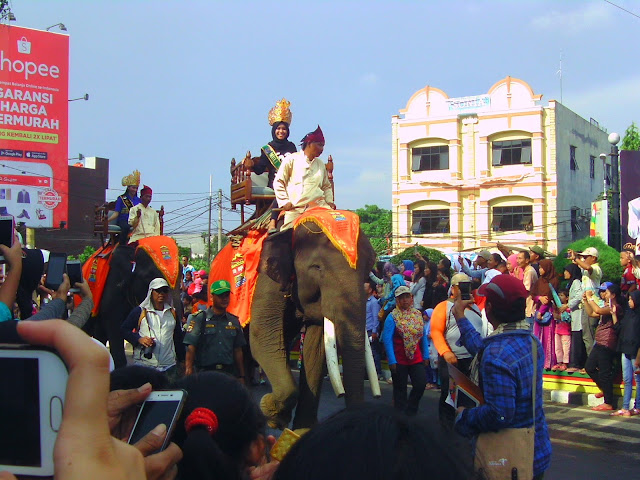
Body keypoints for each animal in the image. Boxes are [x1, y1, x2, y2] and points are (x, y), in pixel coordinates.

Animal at [249, 221, 380, 432]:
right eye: (316, 267)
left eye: (368, 268)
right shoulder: (266, 284)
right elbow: (262, 337)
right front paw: (273, 413)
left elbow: (316, 349)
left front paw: (300, 430)